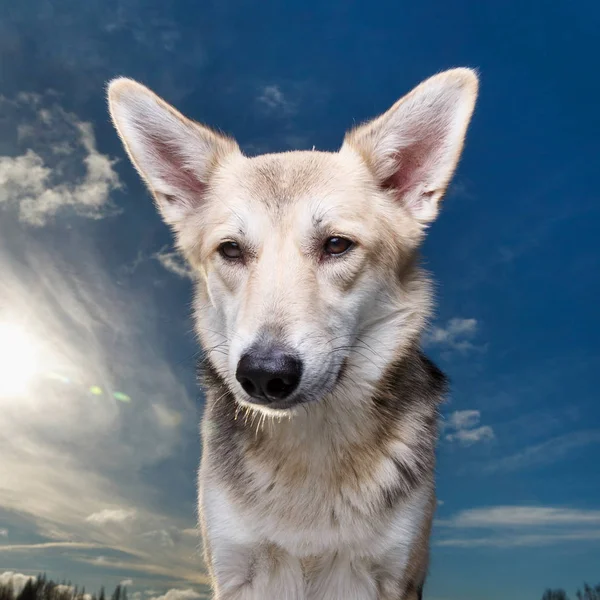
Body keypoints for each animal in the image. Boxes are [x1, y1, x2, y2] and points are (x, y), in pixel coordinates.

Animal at [108, 68, 480, 596]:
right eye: (231, 250)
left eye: (337, 245)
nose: (264, 374)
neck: (310, 443)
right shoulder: (233, 569)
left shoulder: (394, 575)